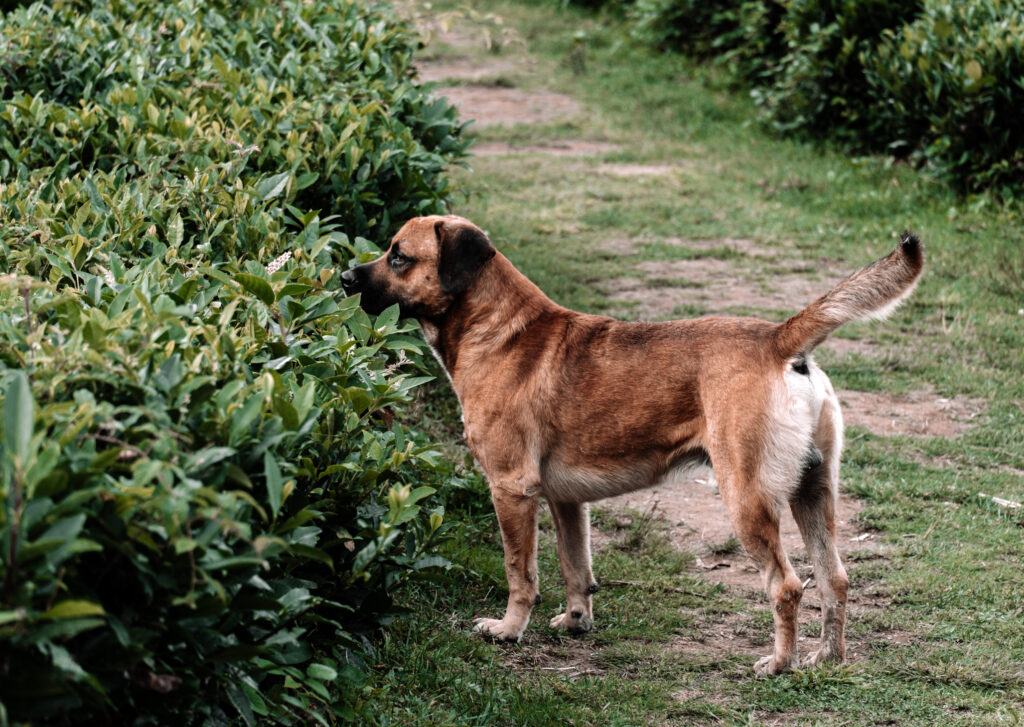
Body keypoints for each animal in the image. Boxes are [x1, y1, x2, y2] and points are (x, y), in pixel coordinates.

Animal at [339, 216, 925, 675]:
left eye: (398, 256)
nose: (344, 277)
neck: (497, 329)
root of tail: (779, 339)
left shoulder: (512, 490)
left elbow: (520, 572)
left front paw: (508, 630)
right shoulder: (567, 502)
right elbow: (576, 568)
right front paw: (576, 622)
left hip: (747, 498)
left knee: (787, 586)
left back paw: (780, 663)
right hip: (813, 493)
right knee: (834, 581)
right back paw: (827, 658)